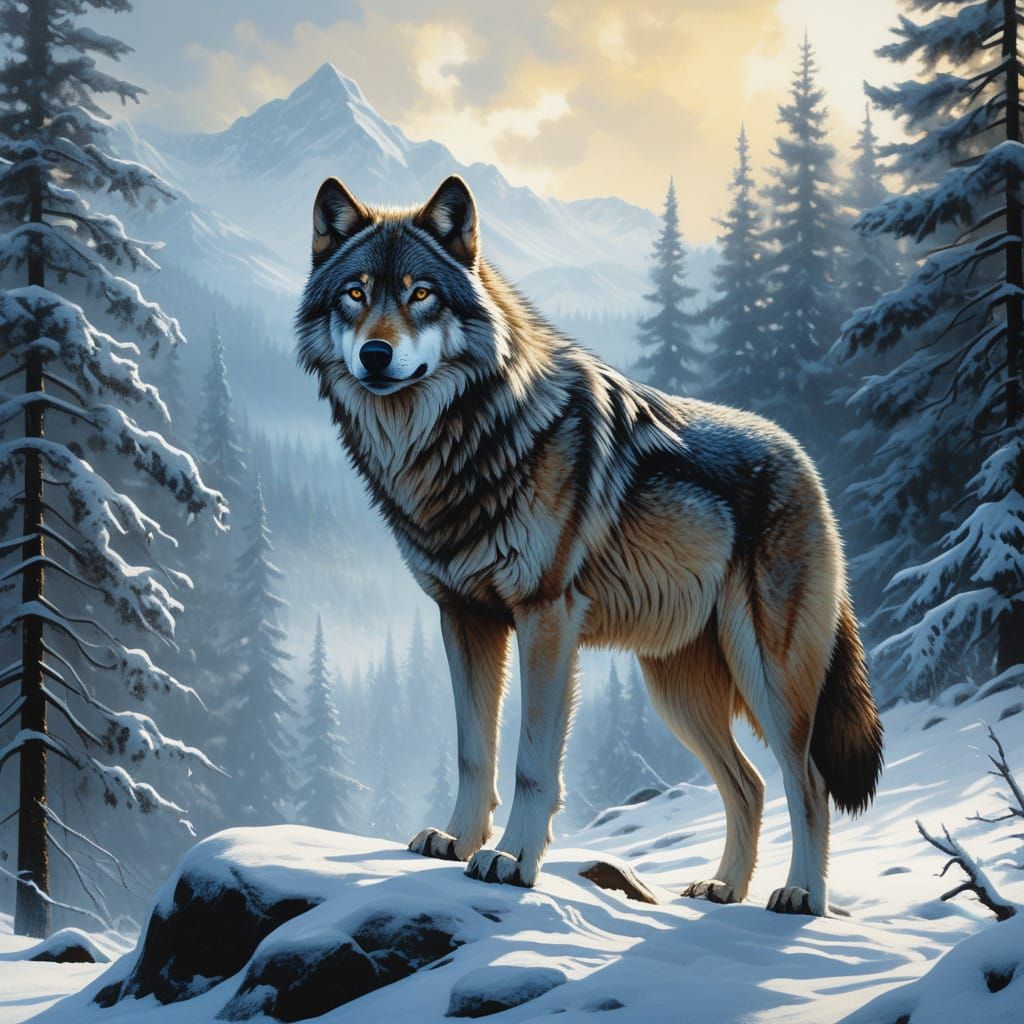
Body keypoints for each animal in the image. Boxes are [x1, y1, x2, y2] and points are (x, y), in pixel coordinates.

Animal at [296, 174, 884, 916]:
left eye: (420, 293)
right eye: (356, 293)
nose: (375, 353)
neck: (462, 441)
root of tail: (806, 462)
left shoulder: (546, 618)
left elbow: (531, 763)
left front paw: (512, 861)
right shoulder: (463, 617)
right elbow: (472, 752)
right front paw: (456, 842)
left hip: (767, 675)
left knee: (807, 781)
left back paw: (801, 895)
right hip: (676, 688)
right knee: (748, 784)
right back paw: (723, 888)